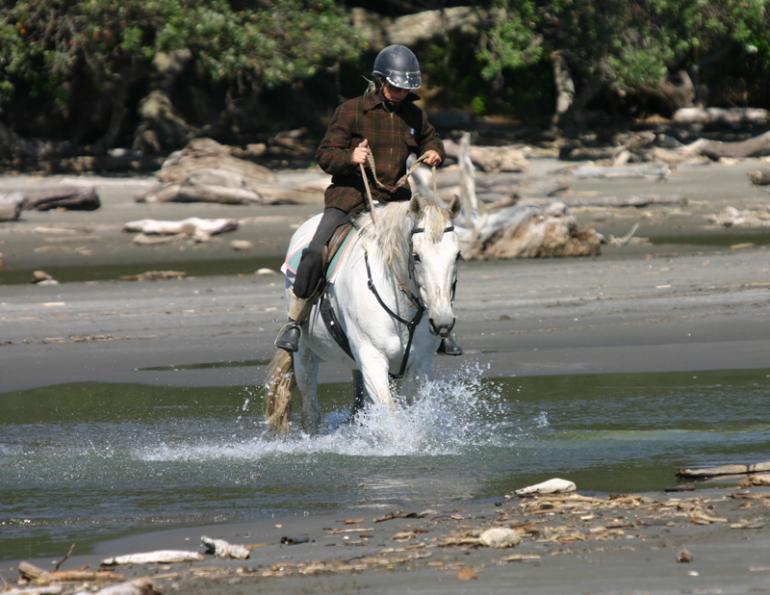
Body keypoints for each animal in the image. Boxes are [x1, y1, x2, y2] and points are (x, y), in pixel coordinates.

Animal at [264, 194, 461, 434]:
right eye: (416, 256)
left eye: (457, 255)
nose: (443, 322)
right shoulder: (372, 360)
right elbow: (393, 420)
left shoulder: (418, 367)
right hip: (304, 357)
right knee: (311, 413)